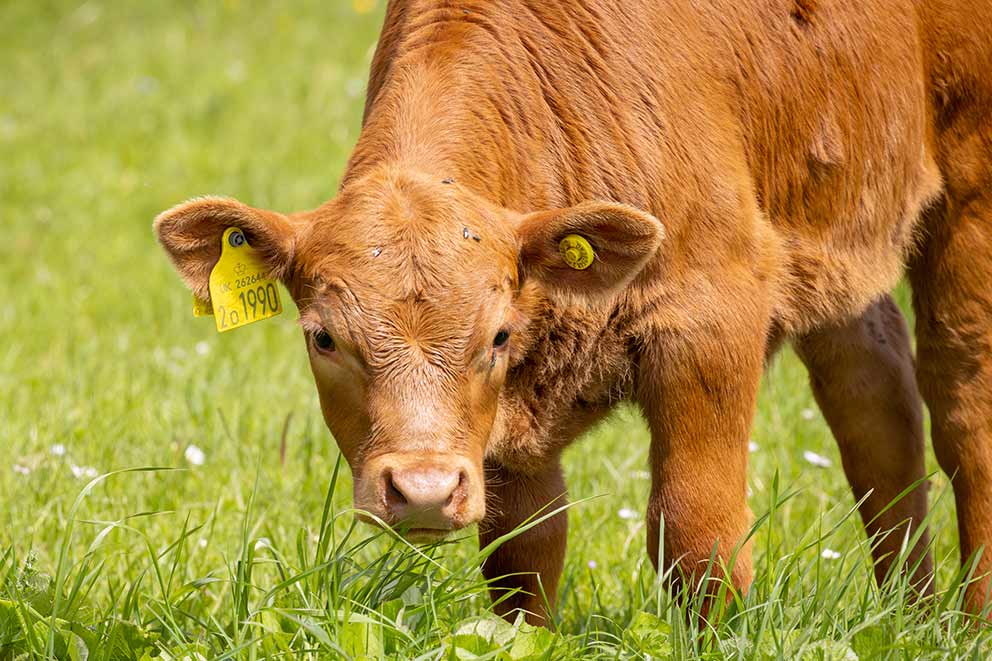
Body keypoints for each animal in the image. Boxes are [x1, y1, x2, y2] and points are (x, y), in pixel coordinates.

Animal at [154, 0, 992, 624]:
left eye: (496, 335)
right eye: (324, 338)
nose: (422, 488)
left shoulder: (713, 313)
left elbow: (700, 535)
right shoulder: (504, 441)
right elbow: (522, 553)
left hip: (970, 194)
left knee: (964, 410)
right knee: (876, 399)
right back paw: (909, 615)